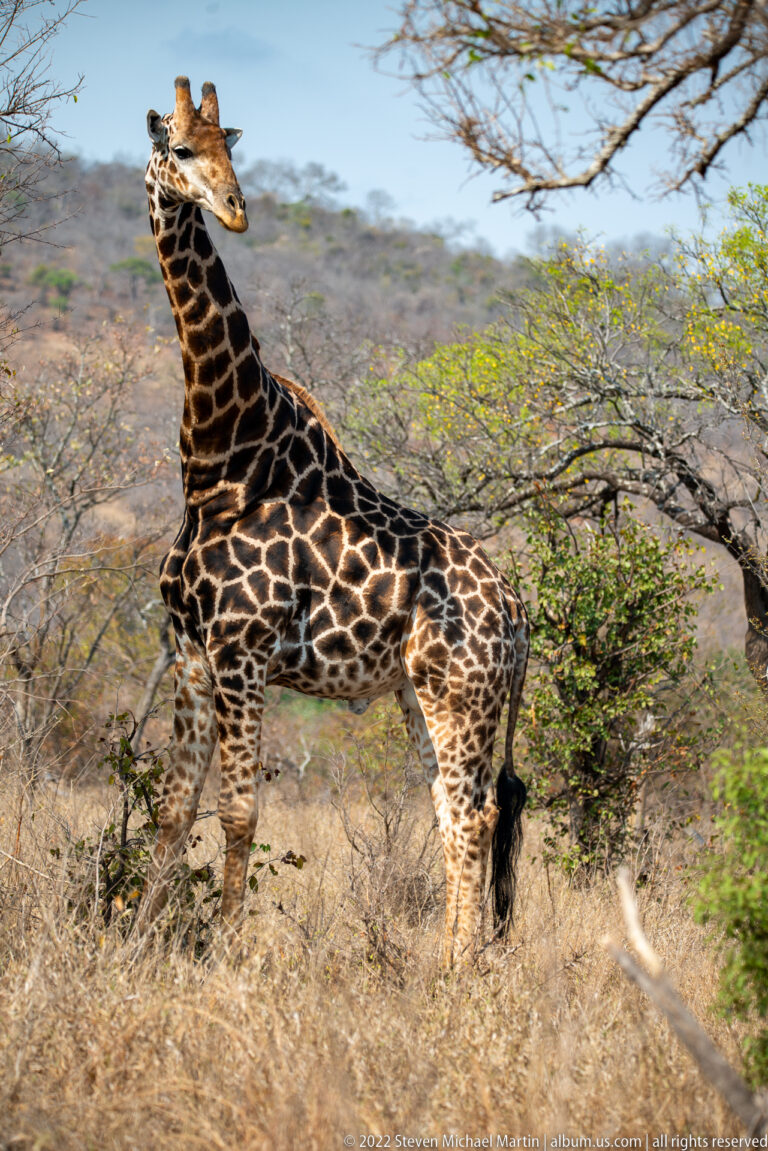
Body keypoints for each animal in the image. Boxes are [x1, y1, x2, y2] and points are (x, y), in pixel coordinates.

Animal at [138, 77, 529, 965]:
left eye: (230, 147)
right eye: (179, 148)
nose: (235, 209)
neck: (218, 462)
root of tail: (519, 611)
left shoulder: (242, 652)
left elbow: (238, 811)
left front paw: (224, 951)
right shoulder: (189, 652)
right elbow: (173, 809)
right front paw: (133, 943)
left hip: (460, 696)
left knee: (473, 813)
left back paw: (460, 968)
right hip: (426, 695)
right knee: (458, 807)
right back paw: (453, 962)